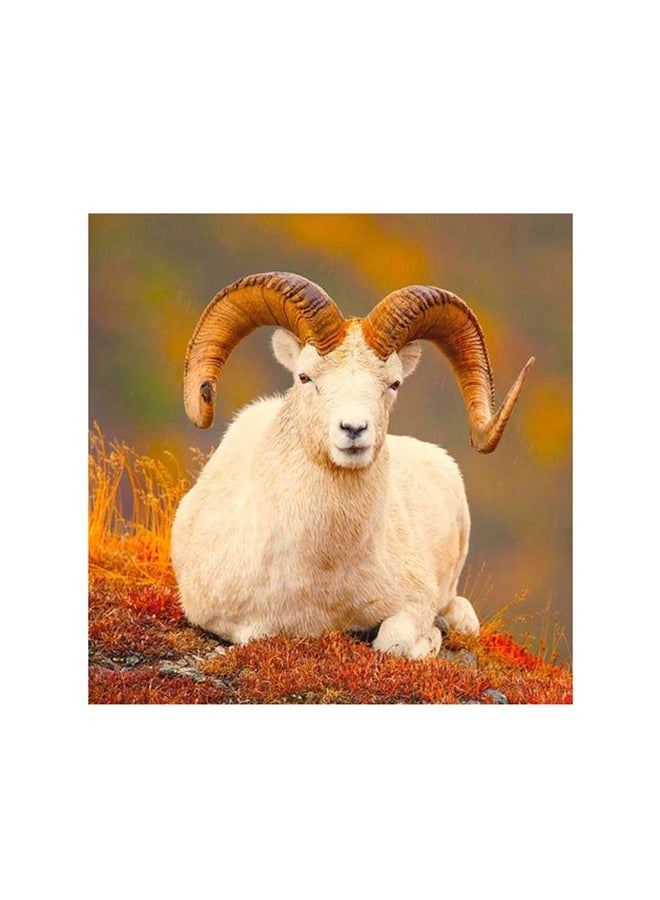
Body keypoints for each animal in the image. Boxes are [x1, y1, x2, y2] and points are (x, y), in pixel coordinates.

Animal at [171, 272, 534, 659]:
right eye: (304, 376)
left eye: (393, 383)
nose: (354, 429)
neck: (322, 572)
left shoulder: (414, 602)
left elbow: (393, 642)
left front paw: (431, 639)